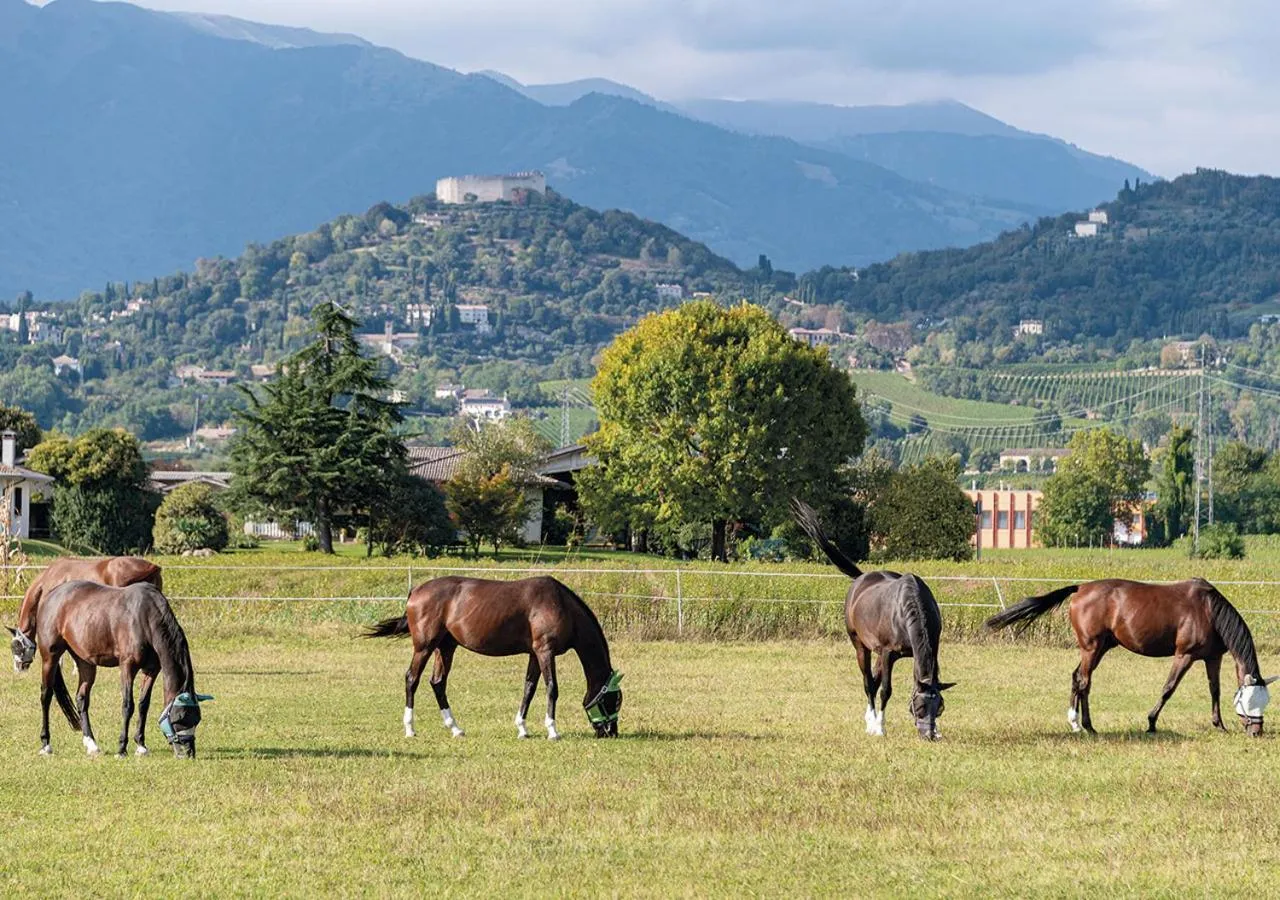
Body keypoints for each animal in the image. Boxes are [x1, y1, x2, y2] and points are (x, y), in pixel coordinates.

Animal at [32, 580, 210, 758]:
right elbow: (128, 705)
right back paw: (46, 744)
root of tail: (51, 594)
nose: (188, 752)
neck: (144, 617)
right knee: (46, 696)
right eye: (179, 718)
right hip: (50, 657)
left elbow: (143, 704)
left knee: (81, 699)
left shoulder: (152, 670)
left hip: (85, 662)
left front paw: (141, 746)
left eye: (197, 719)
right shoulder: (127, 667)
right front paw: (122, 748)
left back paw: (91, 744)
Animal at [365, 575, 623, 740]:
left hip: (445, 648)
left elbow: (529, 688)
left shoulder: (534, 654)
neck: (561, 604)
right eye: (615, 699)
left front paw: (522, 729)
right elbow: (552, 688)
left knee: (438, 683)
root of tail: (416, 591)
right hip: (424, 647)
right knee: (412, 679)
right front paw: (552, 730)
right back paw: (410, 729)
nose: (611, 732)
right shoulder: (545, 651)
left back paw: (455, 728)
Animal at [791, 499, 955, 739]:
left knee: (873, 681)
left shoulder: (931, 649)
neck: (906, 612)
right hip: (861, 646)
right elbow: (886, 689)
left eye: (940, 707)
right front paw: (879, 727)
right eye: (919, 706)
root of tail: (861, 577)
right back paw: (871, 721)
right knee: (869, 682)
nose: (929, 736)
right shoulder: (888, 654)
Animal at [985, 578, 1278, 736]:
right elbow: (1168, 688)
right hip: (1091, 648)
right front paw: (1151, 723)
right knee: (1083, 681)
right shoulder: (1184, 655)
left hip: (1100, 648)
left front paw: (1219, 725)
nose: (1256, 731)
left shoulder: (1212, 658)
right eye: (1249, 701)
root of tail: (1080, 588)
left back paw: (1081, 724)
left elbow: (1214, 690)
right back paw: (1082, 725)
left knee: (1079, 679)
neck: (1208, 610)